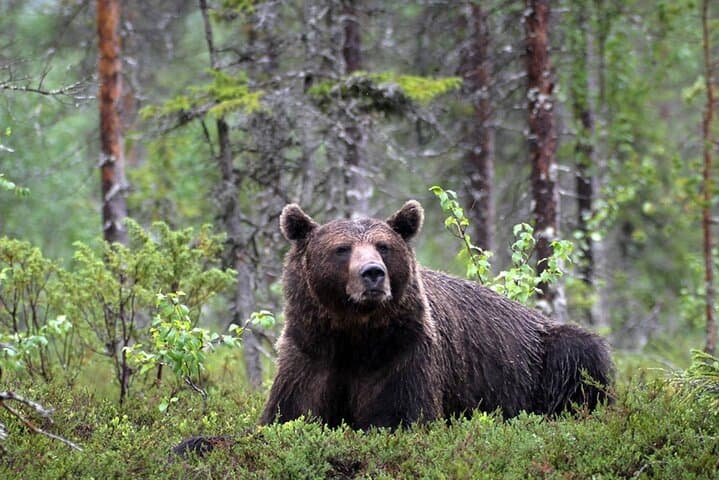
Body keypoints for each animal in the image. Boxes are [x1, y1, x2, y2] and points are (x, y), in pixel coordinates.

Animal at [260, 200, 613, 429]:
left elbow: (400, 415)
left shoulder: (403, 350)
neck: (356, 332)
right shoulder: (311, 352)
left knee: (580, 357)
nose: (373, 274)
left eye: (383, 246)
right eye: (342, 248)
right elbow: (290, 413)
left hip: (542, 357)